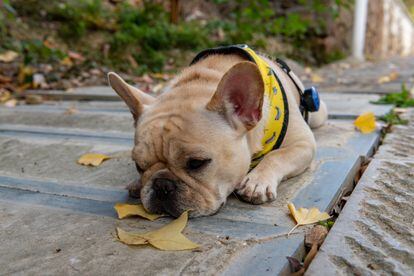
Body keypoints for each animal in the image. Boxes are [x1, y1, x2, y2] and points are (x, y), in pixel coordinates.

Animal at [107, 50, 326, 217]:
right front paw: (138, 183)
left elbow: (277, 156)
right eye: (139, 166)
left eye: (196, 163)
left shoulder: (303, 143)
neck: (201, 81)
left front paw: (257, 182)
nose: (162, 185)